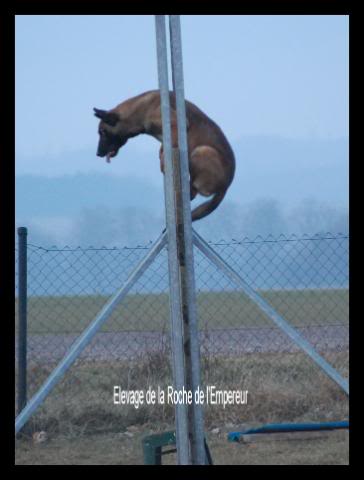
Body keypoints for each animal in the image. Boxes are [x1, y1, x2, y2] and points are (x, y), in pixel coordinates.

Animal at [94, 90, 236, 221]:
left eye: (103, 132)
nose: (98, 153)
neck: (140, 109)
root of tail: (226, 186)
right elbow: (164, 147)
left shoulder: (175, 124)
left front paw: (163, 163)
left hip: (202, 151)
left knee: (193, 191)